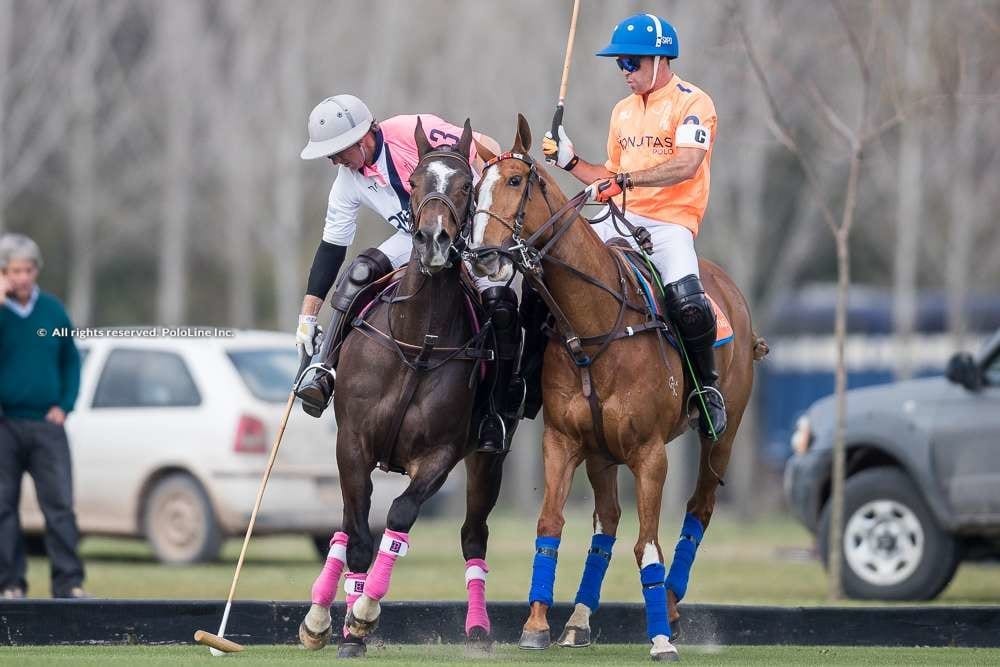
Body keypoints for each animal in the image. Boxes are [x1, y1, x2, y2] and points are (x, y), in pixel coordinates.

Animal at [294, 120, 504, 656]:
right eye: (413, 183)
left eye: (467, 184)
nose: (433, 241)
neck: (418, 341)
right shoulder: (351, 443)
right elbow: (358, 535)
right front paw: (349, 628)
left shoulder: (441, 452)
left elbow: (401, 516)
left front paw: (364, 614)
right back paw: (319, 618)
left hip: (487, 461)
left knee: (473, 536)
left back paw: (478, 629)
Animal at [468, 116, 764, 664]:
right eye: (475, 188)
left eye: (516, 182)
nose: (482, 259)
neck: (595, 326)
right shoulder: (563, 441)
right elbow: (550, 524)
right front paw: (537, 624)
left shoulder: (650, 453)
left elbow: (647, 544)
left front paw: (660, 639)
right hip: (603, 453)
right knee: (607, 521)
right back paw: (579, 620)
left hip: (723, 435)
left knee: (698, 509)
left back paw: (669, 605)